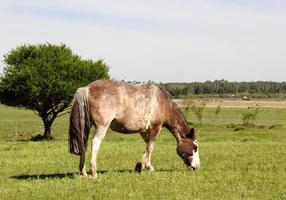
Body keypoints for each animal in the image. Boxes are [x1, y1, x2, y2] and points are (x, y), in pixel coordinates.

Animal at [68, 79, 200, 178]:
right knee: (95, 143)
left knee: (83, 144)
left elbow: (146, 147)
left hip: (87, 125)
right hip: (102, 127)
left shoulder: (144, 131)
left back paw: (83, 172)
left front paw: (140, 165)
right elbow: (151, 147)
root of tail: (87, 88)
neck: (162, 102)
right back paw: (94, 172)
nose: (197, 167)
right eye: (195, 147)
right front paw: (149, 167)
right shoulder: (155, 128)